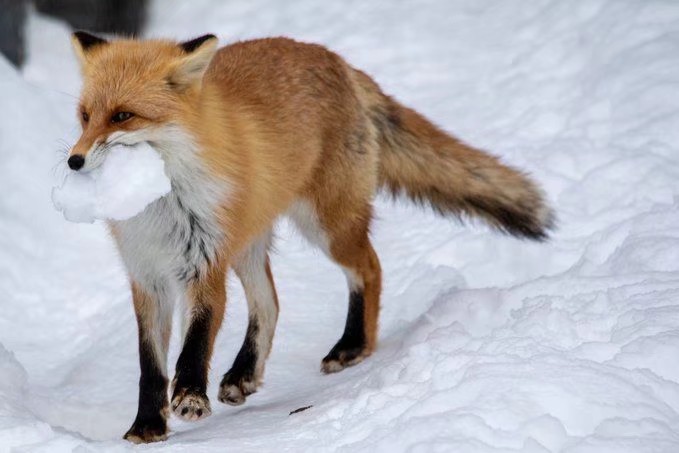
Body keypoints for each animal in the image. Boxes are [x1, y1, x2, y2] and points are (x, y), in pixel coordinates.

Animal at [67, 31, 552, 442]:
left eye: (123, 116)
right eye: (85, 117)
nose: (74, 161)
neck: (160, 207)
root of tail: (335, 59)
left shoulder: (205, 264)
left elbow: (196, 343)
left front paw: (189, 398)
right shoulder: (146, 275)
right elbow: (150, 364)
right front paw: (147, 426)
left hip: (326, 227)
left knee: (370, 269)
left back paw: (353, 346)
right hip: (249, 245)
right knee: (271, 303)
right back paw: (244, 375)